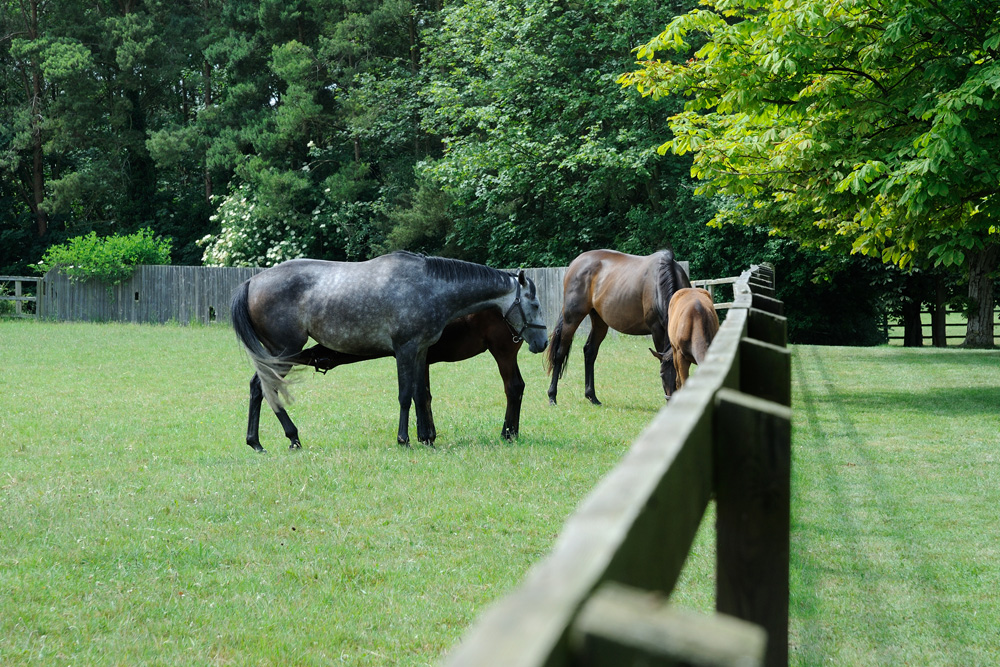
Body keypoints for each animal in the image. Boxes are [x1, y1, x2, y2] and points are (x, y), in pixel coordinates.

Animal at [229, 252, 548, 454]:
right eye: (534, 305)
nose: (542, 341)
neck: (429, 288)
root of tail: (251, 282)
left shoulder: (420, 351)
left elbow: (420, 395)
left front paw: (425, 437)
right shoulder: (405, 349)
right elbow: (406, 395)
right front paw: (404, 439)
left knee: (259, 388)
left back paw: (261, 441)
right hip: (283, 352)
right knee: (264, 387)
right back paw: (285, 438)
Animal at [544, 248, 692, 404]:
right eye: (661, 375)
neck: (659, 282)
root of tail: (575, 263)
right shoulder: (656, 329)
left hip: (599, 321)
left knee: (590, 352)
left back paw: (592, 396)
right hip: (571, 318)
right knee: (560, 353)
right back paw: (552, 396)